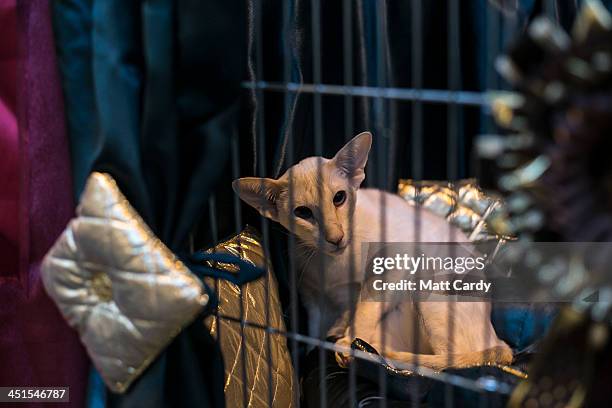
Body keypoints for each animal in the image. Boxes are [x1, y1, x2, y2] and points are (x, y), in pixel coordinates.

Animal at [232, 132, 512, 372]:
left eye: (339, 198)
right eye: (303, 213)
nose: (336, 238)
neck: (334, 263)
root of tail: (498, 339)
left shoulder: (394, 263)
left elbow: (364, 310)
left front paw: (348, 342)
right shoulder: (313, 300)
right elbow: (315, 336)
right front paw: (328, 343)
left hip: (428, 284)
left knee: (446, 362)